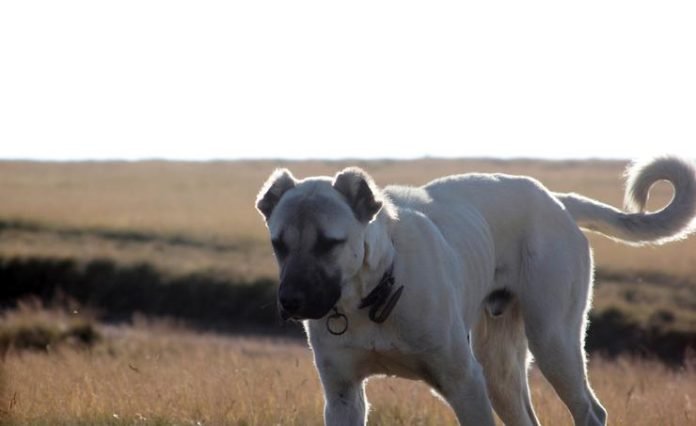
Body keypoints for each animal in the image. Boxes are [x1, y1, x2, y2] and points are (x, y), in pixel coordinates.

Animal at [256, 157, 696, 426]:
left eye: (329, 243)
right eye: (278, 244)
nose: (290, 302)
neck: (375, 295)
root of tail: (556, 199)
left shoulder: (465, 383)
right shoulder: (343, 396)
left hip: (552, 342)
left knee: (591, 411)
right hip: (501, 369)